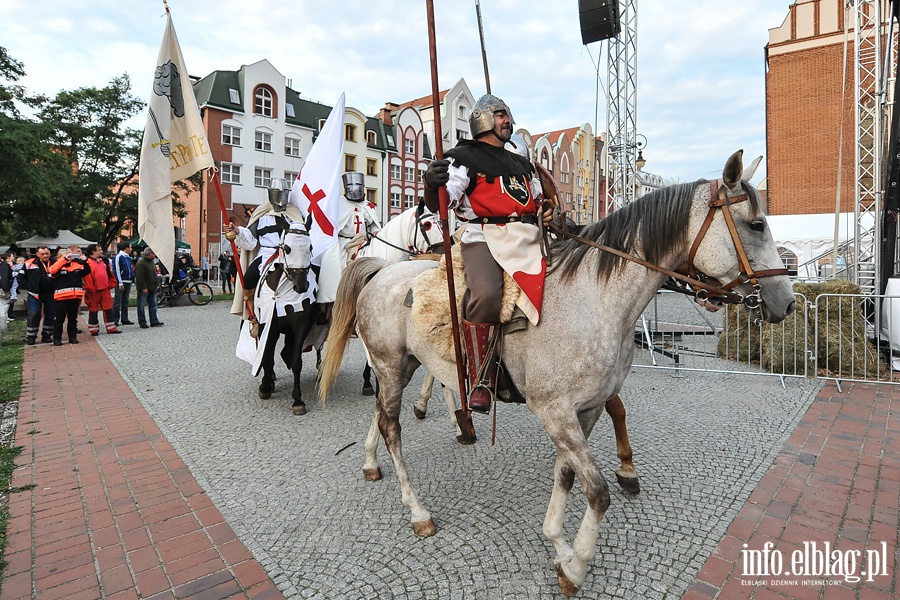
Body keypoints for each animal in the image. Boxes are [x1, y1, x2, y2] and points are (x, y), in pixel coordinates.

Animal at [320, 154, 800, 596]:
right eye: (756, 224)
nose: (788, 300)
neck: (594, 300)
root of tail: (383, 270)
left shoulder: (584, 411)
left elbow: (566, 474)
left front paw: (559, 544)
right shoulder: (555, 412)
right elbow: (597, 490)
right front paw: (577, 566)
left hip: (403, 366)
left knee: (382, 415)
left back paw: (373, 461)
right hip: (387, 363)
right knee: (392, 427)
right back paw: (417, 510)